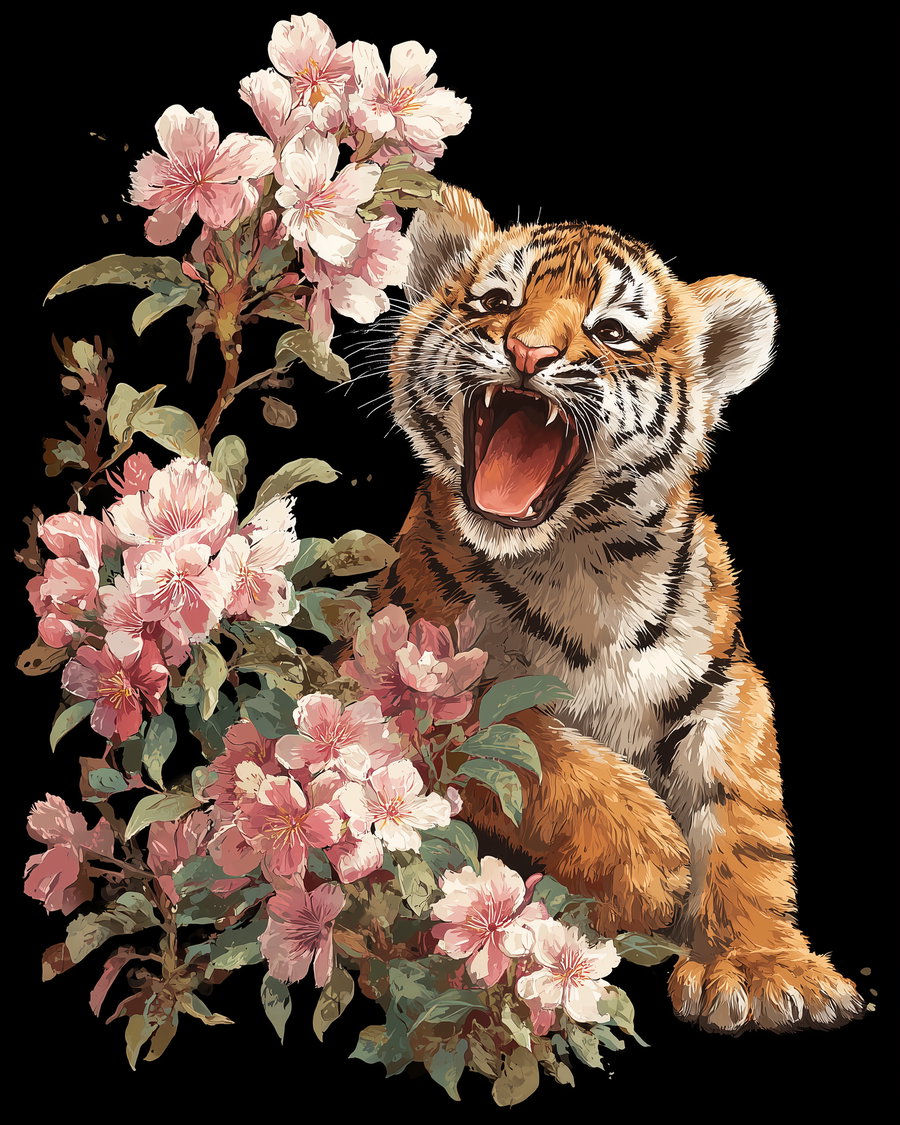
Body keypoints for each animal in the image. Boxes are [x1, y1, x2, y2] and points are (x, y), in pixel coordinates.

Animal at [362, 186, 863, 1033]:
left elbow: (747, 822)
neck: (584, 562)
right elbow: (548, 755)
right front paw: (651, 875)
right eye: (498, 302)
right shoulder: (412, 674)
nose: (527, 352)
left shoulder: (727, 684)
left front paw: (764, 968)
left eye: (610, 332)